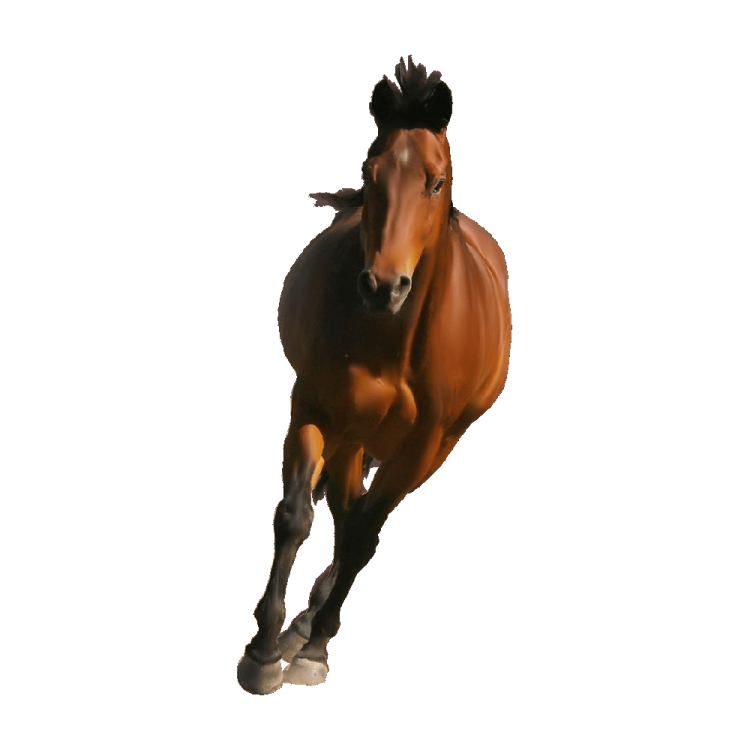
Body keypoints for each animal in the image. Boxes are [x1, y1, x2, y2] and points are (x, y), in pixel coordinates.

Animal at [238, 56, 511, 694]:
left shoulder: (424, 443)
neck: (394, 343)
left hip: (430, 446)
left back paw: (313, 626)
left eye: (435, 181)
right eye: (369, 172)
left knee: (359, 522)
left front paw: (313, 650)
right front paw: (262, 653)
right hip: (353, 434)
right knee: (340, 509)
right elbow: (295, 516)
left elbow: (364, 533)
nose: (382, 286)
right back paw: (299, 624)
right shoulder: (317, 409)